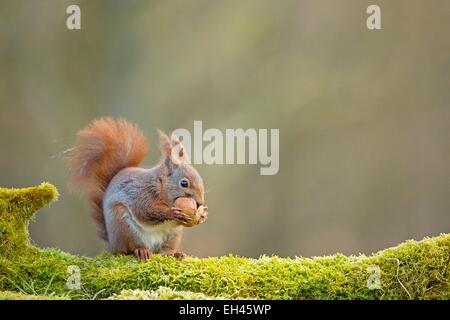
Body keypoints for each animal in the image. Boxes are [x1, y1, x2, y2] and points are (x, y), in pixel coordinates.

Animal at [68, 117, 207, 260]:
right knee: (128, 249)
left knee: (165, 251)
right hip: (123, 225)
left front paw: (202, 215)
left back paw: (176, 253)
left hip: (173, 235)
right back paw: (141, 251)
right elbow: (147, 210)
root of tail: (112, 245)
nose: (200, 203)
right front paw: (171, 213)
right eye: (184, 183)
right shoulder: (141, 194)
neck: (160, 186)